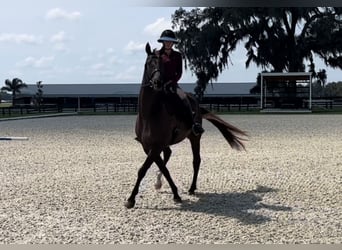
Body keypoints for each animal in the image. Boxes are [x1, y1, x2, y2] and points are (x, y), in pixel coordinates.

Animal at [124, 43, 247, 209]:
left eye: (162, 64)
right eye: (148, 63)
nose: (158, 83)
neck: (149, 113)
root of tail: (195, 102)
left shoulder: (155, 146)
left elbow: (143, 169)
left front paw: (132, 199)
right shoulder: (148, 146)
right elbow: (162, 168)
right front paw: (167, 190)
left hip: (194, 138)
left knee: (196, 161)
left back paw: (192, 188)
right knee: (168, 154)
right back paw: (160, 182)